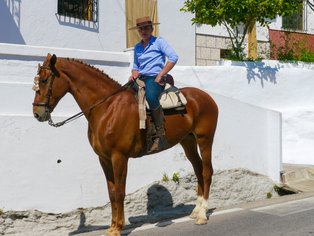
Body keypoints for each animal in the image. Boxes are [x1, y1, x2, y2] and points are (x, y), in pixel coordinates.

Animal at [31, 54, 218, 236]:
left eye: (45, 80)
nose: (37, 113)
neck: (107, 108)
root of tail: (206, 97)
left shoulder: (119, 157)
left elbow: (120, 192)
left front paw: (118, 227)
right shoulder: (104, 159)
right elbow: (112, 193)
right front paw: (112, 226)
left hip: (205, 139)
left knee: (206, 171)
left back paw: (202, 215)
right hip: (188, 141)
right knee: (198, 170)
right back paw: (196, 210)